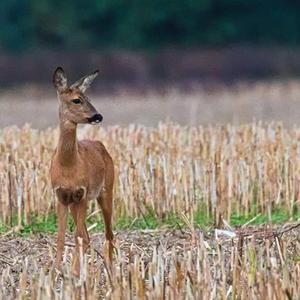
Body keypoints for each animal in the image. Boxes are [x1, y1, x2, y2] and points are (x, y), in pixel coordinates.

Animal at [50, 67, 113, 276]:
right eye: (77, 100)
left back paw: (110, 270)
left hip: (106, 190)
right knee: (87, 237)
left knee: (109, 233)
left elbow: (76, 235)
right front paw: (57, 272)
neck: (68, 166)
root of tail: (101, 145)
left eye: (89, 97)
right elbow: (61, 236)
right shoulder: (61, 195)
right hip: (74, 203)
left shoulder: (83, 193)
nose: (98, 116)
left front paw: (75, 272)